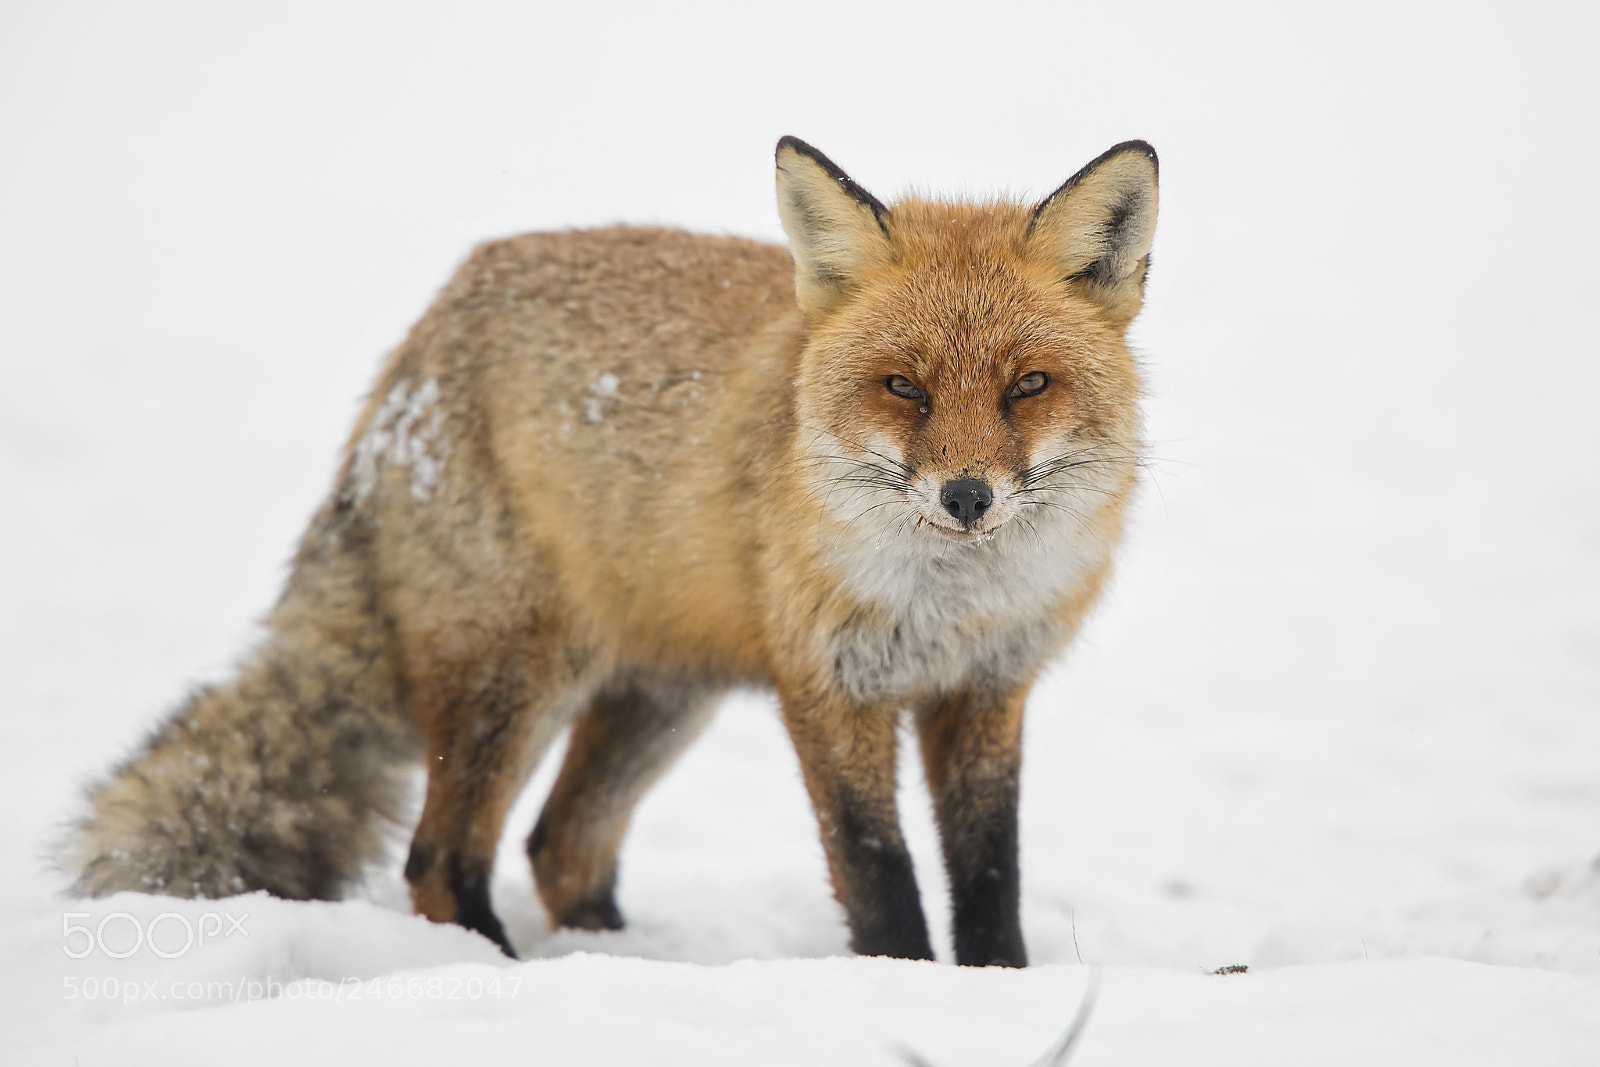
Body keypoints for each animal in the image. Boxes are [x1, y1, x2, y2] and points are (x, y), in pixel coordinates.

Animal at [64, 136, 1157, 967]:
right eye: (902, 387)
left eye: (1028, 384)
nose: (967, 496)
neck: (952, 599)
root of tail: (420, 344)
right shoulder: (830, 686)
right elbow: (877, 868)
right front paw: (900, 983)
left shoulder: (986, 687)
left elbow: (989, 870)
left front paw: (996, 985)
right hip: (516, 680)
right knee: (442, 857)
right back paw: (518, 974)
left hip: (657, 698)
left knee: (562, 845)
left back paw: (619, 958)